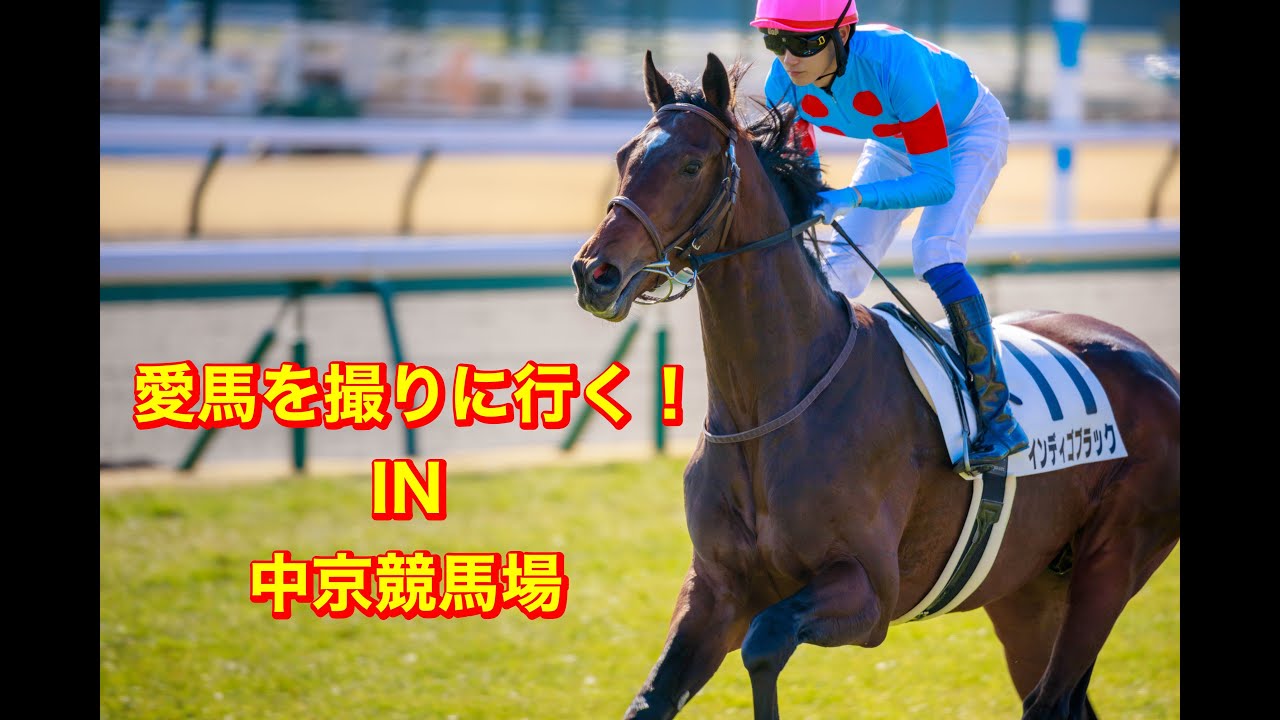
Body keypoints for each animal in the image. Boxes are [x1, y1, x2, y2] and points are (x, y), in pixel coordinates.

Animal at [570, 51, 1180, 720]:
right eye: (625, 155)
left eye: (689, 165)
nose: (595, 272)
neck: (771, 407)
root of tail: (1156, 366)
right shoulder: (713, 590)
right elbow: (654, 697)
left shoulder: (869, 593)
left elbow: (765, 641)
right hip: (1028, 590)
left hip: (1111, 564)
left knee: (1052, 698)